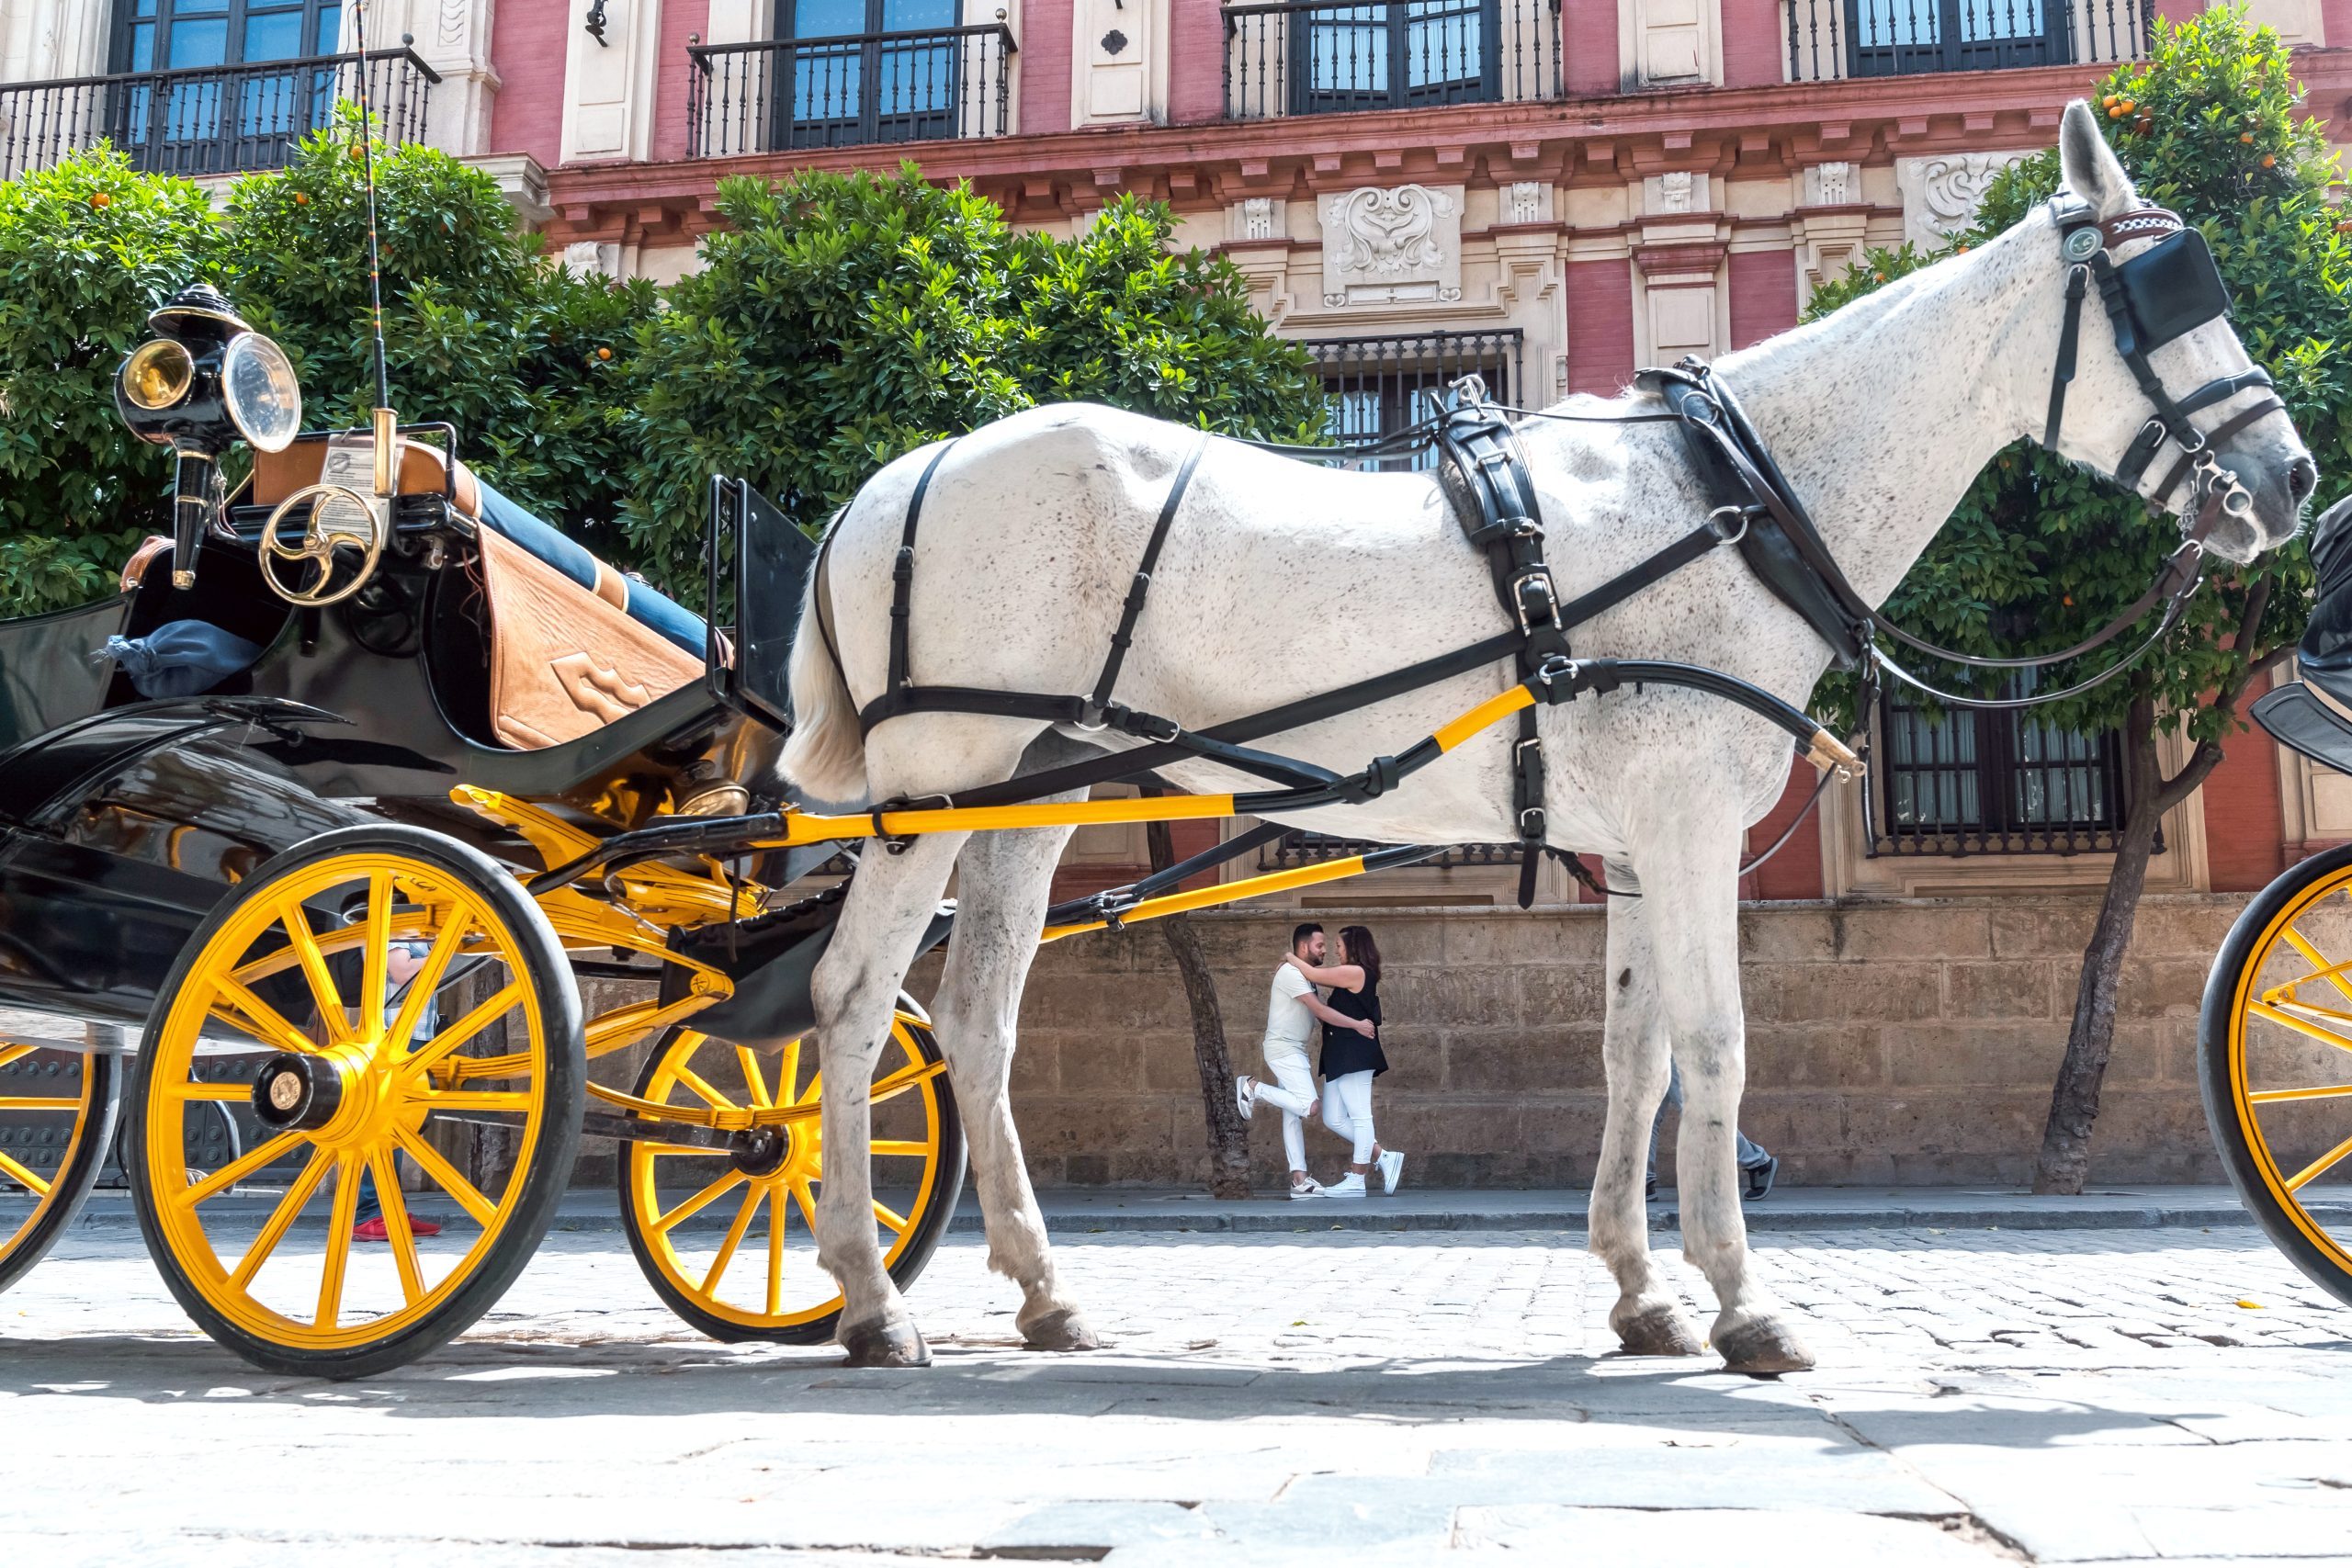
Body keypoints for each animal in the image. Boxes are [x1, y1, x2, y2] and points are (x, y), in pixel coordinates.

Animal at [775, 107, 2314, 1372]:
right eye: (2170, 294)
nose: (2290, 475)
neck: (1731, 498)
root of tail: (895, 475)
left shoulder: (1633, 844)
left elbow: (1636, 1056)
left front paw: (1645, 1291)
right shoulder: (1690, 826)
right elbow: (1717, 1043)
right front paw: (1746, 1301)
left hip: (1028, 799)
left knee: (975, 1017)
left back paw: (1041, 1289)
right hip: (927, 796)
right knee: (852, 1000)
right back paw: (870, 1294)